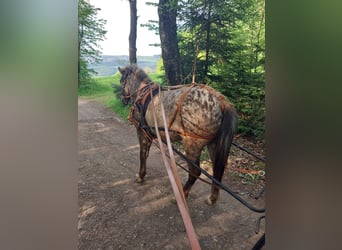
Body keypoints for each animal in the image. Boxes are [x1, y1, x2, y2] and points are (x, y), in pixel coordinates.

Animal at [119, 65, 236, 205]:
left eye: (121, 81)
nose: (123, 99)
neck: (143, 94)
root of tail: (220, 101)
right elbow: (145, 154)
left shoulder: (142, 132)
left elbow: (142, 155)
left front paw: (140, 176)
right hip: (213, 144)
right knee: (218, 169)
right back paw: (212, 198)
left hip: (192, 145)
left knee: (195, 172)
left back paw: (183, 194)